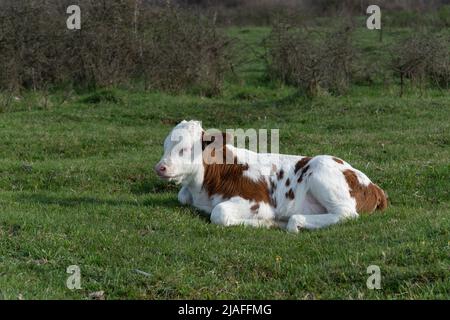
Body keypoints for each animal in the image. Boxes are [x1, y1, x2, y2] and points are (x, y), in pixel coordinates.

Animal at [155, 120, 386, 232]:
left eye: (185, 149)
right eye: (165, 145)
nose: (160, 168)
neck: (203, 188)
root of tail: (373, 186)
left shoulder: (258, 201)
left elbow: (218, 213)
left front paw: (266, 223)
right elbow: (182, 196)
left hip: (321, 173)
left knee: (346, 214)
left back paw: (292, 223)